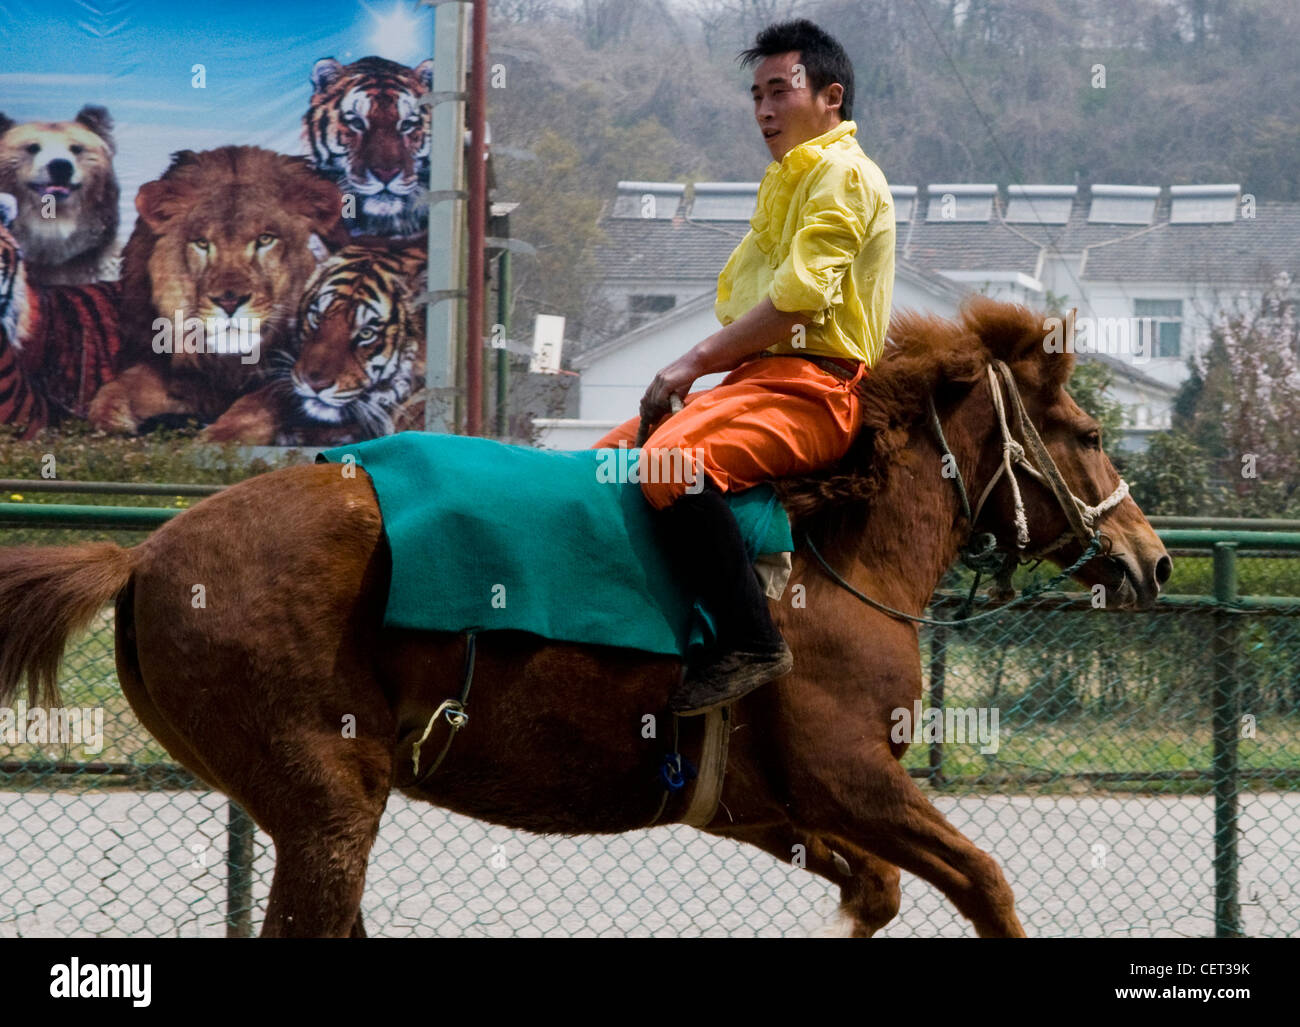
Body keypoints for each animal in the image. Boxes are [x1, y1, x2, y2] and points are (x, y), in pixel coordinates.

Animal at [0, 299, 1170, 941]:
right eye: (1087, 430)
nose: (1151, 559)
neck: (829, 554)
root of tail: (148, 552)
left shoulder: (764, 802)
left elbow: (877, 888)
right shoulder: (854, 778)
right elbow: (984, 882)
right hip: (328, 803)